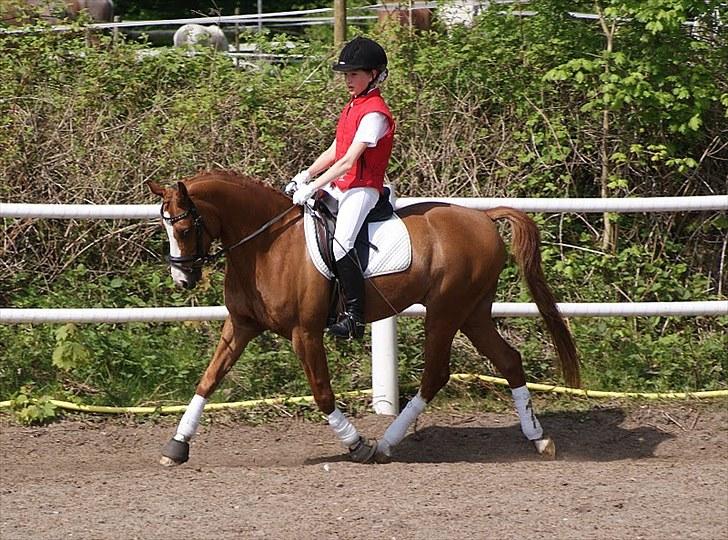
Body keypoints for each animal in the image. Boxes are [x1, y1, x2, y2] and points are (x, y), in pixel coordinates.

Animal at [147, 170, 579, 465]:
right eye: (165, 228)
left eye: (183, 228)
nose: (182, 278)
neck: (266, 246)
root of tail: (484, 217)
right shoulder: (241, 325)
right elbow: (208, 379)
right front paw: (177, 445)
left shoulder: (306, 333)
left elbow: (322, 392)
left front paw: (356, 445)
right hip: (472, 312)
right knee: (508, 360)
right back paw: (539, 439)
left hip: (445, 311)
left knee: (436, 374)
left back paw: (386, 444)